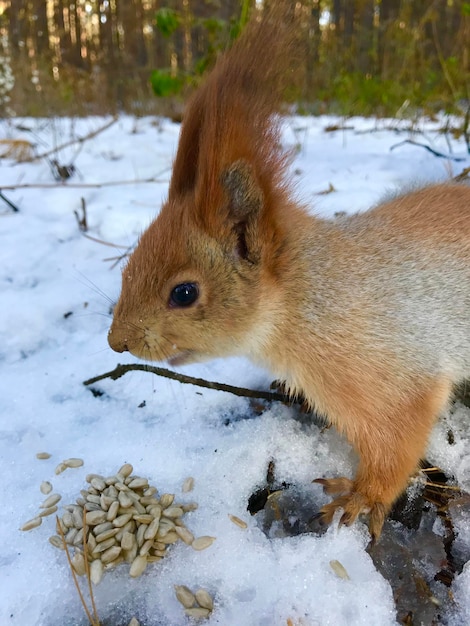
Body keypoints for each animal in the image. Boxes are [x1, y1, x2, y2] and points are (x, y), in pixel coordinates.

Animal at [108, 4, 470, 540]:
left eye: (185, 293)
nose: (117, 342)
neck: (307, 297)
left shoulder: (390, 374)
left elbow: (397, 441)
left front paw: (360, 498)